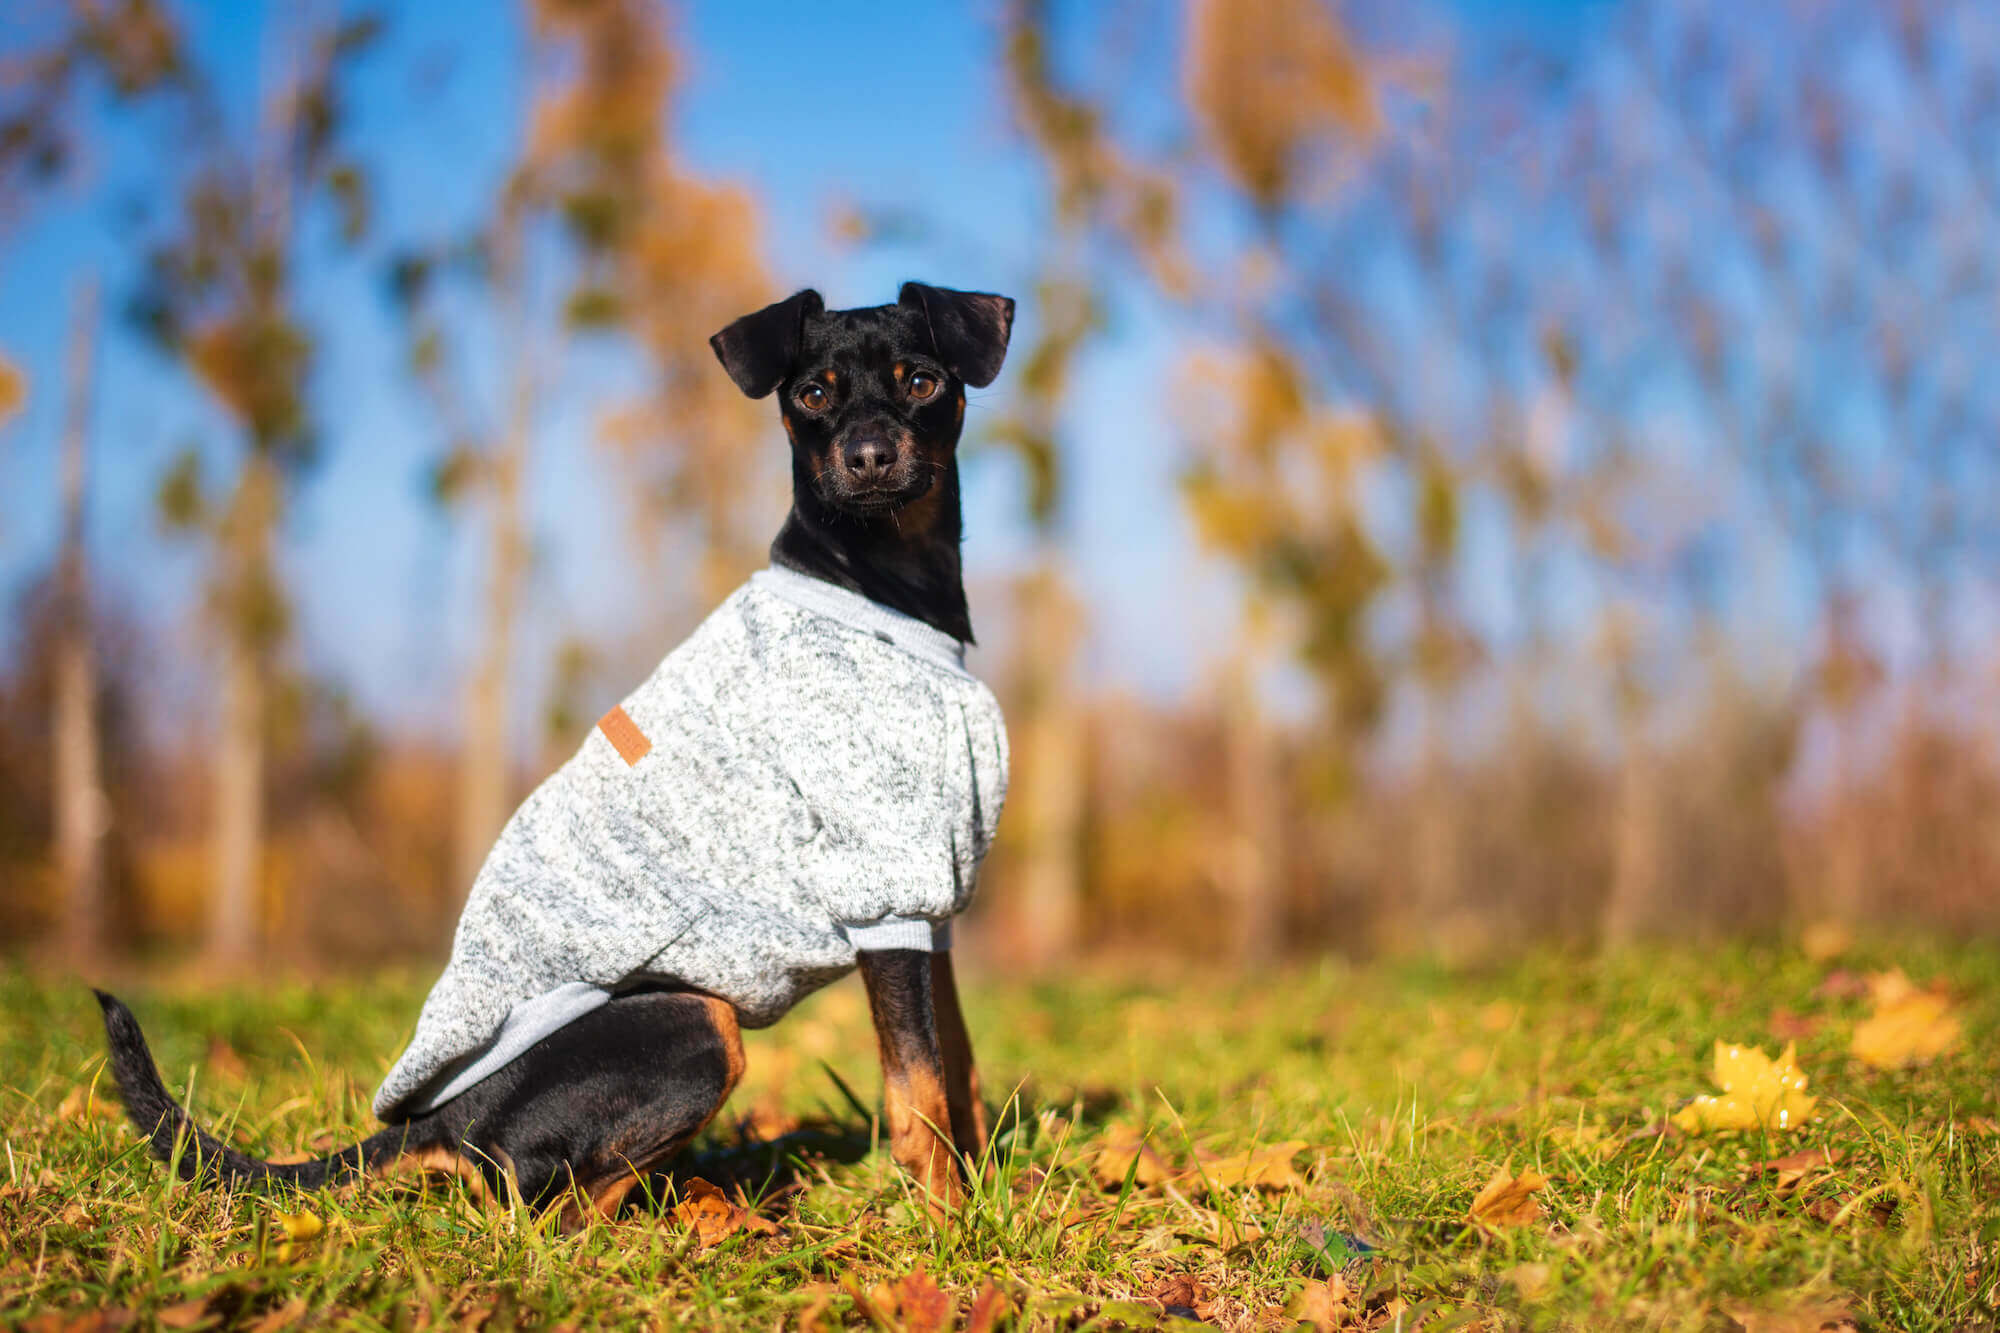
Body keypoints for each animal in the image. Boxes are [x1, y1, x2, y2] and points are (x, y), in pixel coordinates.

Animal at [94, 282, 1016, 1224]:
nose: (869, 457)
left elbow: (958, 1069)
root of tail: (435, 1120)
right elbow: (916, 1092)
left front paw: (985, 1192)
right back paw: (708, 1220)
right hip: (696, 1023)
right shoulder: (888, 893)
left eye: (921, 381)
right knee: (553, 1210)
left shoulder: (931, 912)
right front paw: (946, 1223)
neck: (887, 590)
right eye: (814, 394)